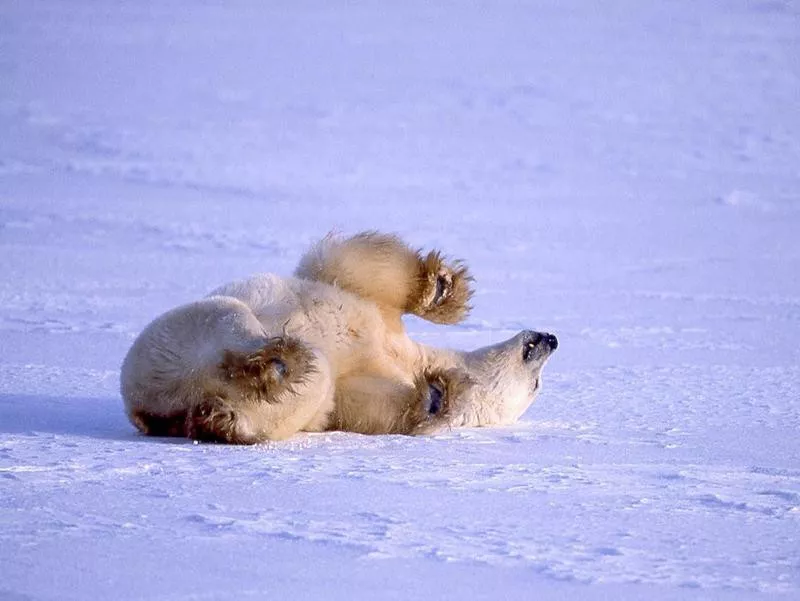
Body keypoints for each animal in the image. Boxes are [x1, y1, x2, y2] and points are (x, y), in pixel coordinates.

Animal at [120, 232, 556, 442]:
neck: (412, 358)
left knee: (298, 389)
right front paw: (444, 288)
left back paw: (246, 395)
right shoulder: (378, 318)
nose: (550, 338)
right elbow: (361, 268)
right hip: (180, 329)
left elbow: (362, 405)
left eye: (536, 385)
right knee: (238, 321)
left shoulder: (363, 394)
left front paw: (436, 396)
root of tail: (153, 409)